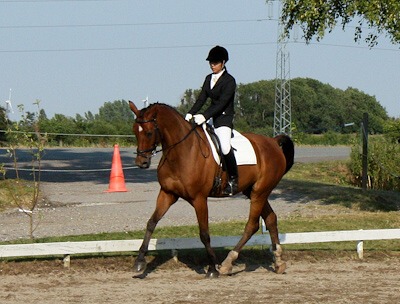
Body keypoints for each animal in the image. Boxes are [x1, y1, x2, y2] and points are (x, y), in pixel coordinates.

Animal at [128, 101, 294, 278]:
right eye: (134, 131)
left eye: (149, 132)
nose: (141, 163)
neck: (183, 151)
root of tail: (273, 142)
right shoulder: (167, 194)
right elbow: (151, 223)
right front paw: (139, 262)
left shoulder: (199, 199)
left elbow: (204, 233)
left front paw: (213, 268)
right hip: (253, 191)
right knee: (271, 218)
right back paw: (278, 262)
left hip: (259, 192)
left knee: (252, 225)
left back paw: (228, 263)